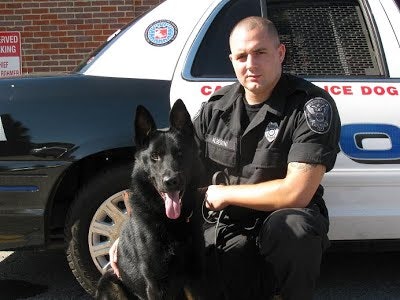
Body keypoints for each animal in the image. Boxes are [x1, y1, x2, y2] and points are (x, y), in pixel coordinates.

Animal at [95, 100, 205, 300]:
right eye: (155, 157)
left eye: (180, 154)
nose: (171, 181)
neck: (171, 222)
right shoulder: (156, 285)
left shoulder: (195, 278)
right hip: (110, 282)